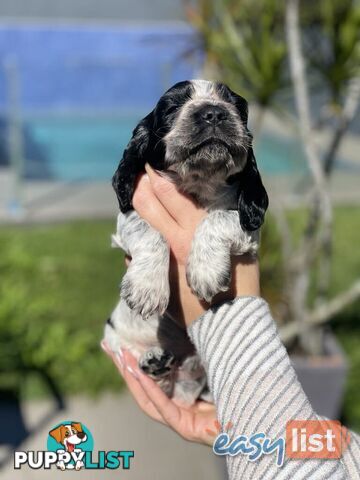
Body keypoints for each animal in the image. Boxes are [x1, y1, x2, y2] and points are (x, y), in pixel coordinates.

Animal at [103, 79, 268, 404]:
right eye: (172, 107)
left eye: (237, 107)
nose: (214, 112)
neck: (198, 185)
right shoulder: (129, 215)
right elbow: (151, 232)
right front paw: (147, 289)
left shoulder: (249, 225)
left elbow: (216, 218)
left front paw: (205, 271)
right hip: (114, 336)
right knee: (157, 381)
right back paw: (155, 363)